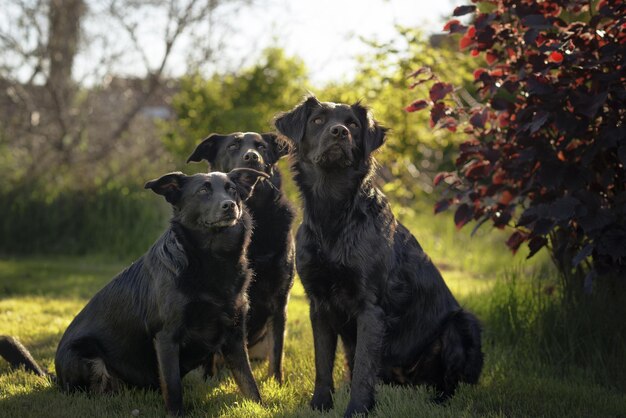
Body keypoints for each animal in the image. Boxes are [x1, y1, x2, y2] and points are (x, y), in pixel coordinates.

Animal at [0, 169, 266, 414]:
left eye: (232, 190)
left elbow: (249, 382)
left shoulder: (234, 335)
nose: (230, 205)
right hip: (85, 355)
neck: (212, 258)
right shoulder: (167, 337)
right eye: (203, 190)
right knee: (92, 393)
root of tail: (56, 377)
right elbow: (173, 386)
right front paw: (176, 413)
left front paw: (260, 408)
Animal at [185, 132, 294, 384]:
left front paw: (276, 382)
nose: (251, 157)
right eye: (233, 146)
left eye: (262, 147)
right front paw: (208, 379)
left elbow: (277, 349)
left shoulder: (280, 297)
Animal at [272, 95, 482, 418]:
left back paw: (439, 402)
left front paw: (357, 410)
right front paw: (320, 405)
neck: (334, 216)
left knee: (451, 383)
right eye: (317, 120)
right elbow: (323, 363)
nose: (339, 132)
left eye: (353, 125)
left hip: (462, 323)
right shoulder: (318, 304)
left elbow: (362, 369)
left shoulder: (370, 307)